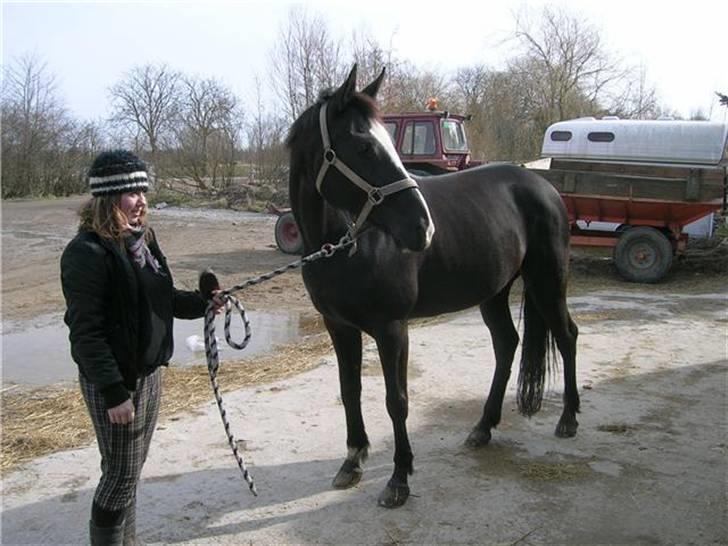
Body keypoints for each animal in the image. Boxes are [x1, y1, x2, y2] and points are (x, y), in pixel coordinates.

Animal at [288, 67, 576, 506]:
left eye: (392, 143)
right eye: (363, 146)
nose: (423, 228)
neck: (343, 244)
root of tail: (541, 184)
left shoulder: (392, 328)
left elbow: (397, 400)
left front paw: (399, 479)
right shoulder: (338, 327)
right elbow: (350, 390)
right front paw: (352, 462)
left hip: (548, 281)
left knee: (566, 336)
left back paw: (569, 419)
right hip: (494, 291)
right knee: (507, 344)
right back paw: (483, 427)